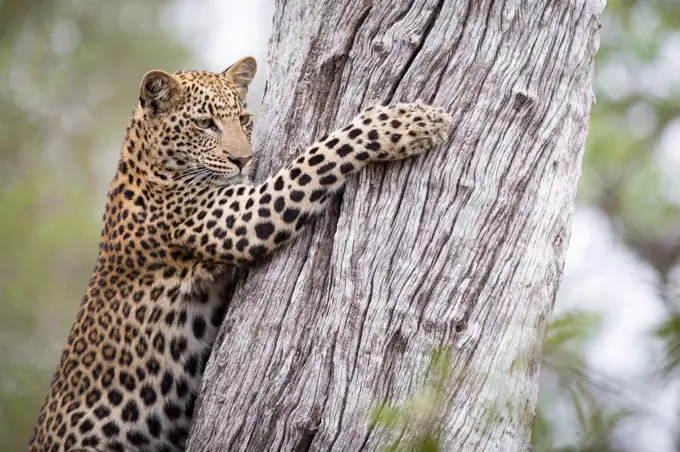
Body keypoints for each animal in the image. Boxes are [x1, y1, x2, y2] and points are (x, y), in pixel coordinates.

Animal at [27, 57, 452, 452]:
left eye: (244, 119)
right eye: (205, 124)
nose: (243, 159)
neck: (146, 162)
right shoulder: (244, 215)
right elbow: (316, 157)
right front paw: (407, 122)